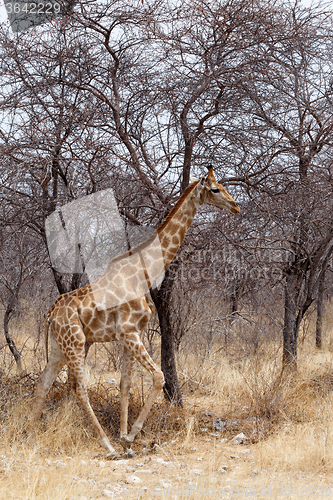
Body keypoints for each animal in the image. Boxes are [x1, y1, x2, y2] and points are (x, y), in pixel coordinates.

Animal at [31, 167, 239, 458]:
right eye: (215, 189)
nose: (236, 206)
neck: (144, 271)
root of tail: (51, 313)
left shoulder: (130, 335)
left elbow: (125, 384)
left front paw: (124, 438)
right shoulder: (129, 333)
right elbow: (159, 377)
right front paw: (129, 436)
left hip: (58, 345)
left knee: (43, 383)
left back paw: (29, 433)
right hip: (76, 342)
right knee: (78, 388)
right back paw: (106, 445)